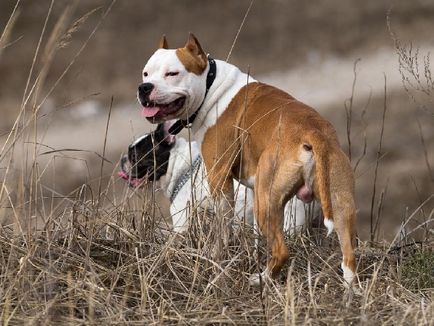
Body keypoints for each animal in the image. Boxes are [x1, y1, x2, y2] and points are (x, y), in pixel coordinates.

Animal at [136, 33, 356, 286]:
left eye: (172, 73)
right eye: (146, 73)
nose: (144, 87)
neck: (211, 87)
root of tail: (312, 133)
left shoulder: (219, 177)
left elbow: (223, 225)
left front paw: (216, 258)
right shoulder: (250, 188)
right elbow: (254, 233)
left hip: (267, 200)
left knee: (281, 250)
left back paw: (262, 279)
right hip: (338, 200)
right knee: (348, 254)